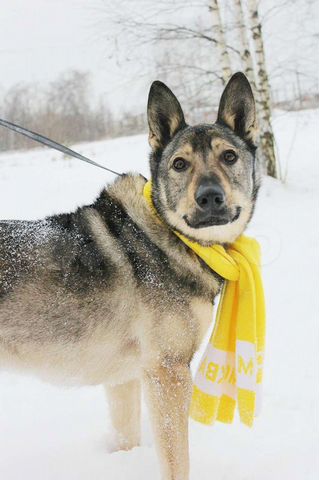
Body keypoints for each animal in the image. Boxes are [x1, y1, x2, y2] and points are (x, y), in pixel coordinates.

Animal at [0, 72, 260, 480]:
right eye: (180, 164)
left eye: (229, 156)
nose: (210, 197)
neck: (171, 237)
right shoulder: (168, 373)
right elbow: (177, 462)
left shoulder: (124, 377)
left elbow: (127, 436)